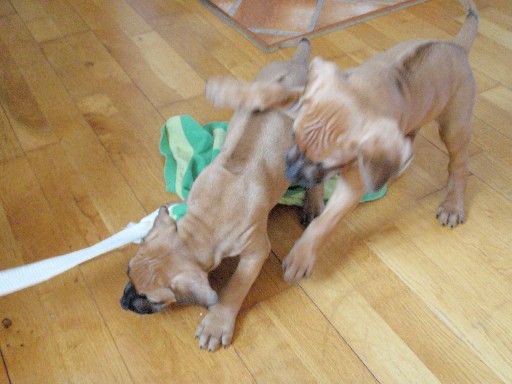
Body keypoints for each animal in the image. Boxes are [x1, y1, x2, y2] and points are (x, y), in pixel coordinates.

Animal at [119, 39, 324, 352]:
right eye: (128, 270)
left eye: (149, 299)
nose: (123, 302)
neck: (204, 224)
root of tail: (298, 63)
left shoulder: (256, 250)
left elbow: (236, 286)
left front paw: (217, 322)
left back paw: (313, 202)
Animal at [205, 0, 480, 282]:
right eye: (293, 136)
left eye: (325, 165)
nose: (289, 173)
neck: (363, 93)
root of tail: (457, 46)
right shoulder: (308, 95)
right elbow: (274, 91)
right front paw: (229, 91)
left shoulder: (353, 181)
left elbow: (326, 222)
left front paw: (301, 256)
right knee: (409, 144)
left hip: (454, 126)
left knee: (458, 165)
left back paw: (452, 204)